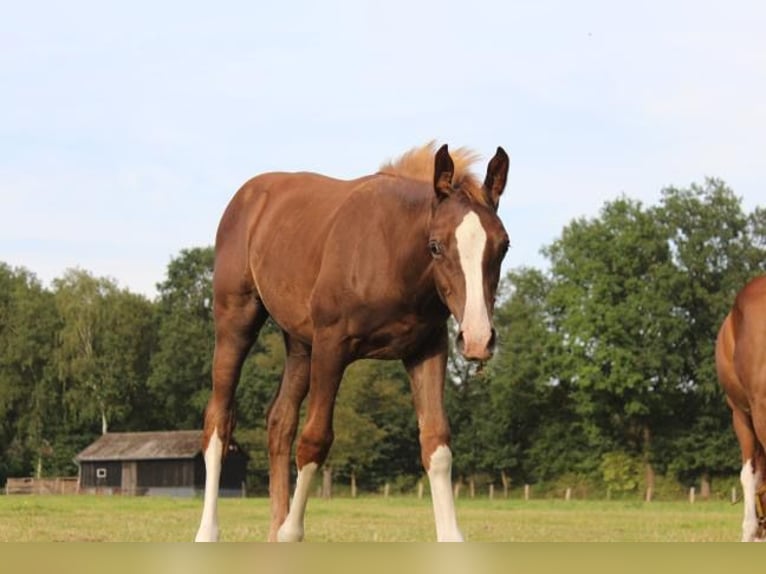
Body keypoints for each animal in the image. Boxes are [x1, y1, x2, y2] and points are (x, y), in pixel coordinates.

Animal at [195, 142, 512, 544]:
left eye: (503, 246)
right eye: (436, 246)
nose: (477, 338)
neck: (393, 255)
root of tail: (248, 195)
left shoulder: (427, 349)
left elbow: (436, 442)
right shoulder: (332, 344)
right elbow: (315, 439)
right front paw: (290, 533)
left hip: (300, 342)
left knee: (279, 420)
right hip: (236, 322)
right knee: (219, 420)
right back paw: (208, 532)